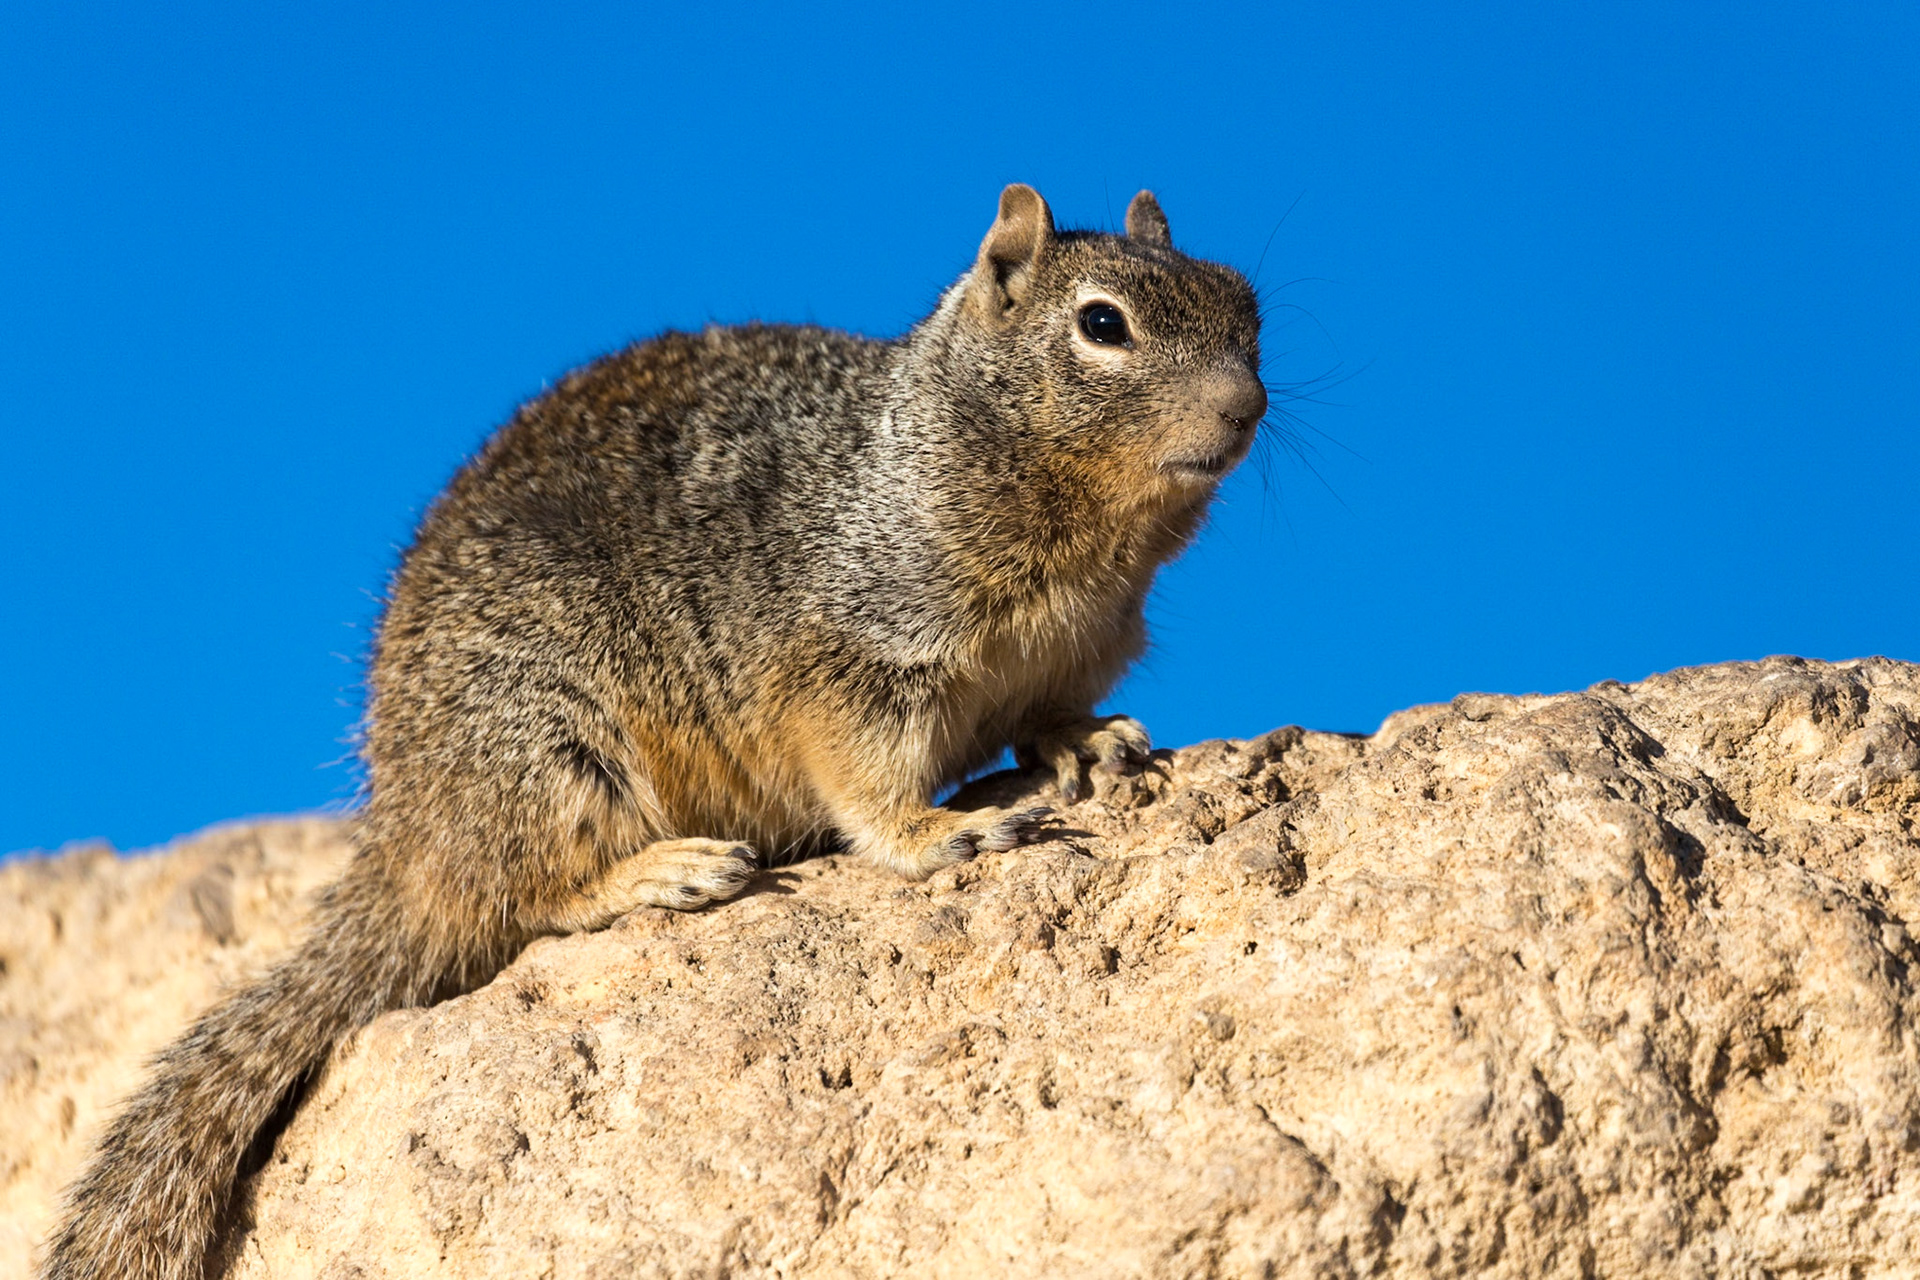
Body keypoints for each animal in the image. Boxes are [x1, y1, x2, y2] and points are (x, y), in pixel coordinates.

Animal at [41, 184, 1267, 1280]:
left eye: (1249, 307)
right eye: (1102, 324)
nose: (1249, 406)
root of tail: (402, 835)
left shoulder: (1077, 648)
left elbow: (1051, 714)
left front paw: (1090, 743)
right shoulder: (852, 659)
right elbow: (867, 785)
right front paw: (940, 835)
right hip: (550, 744)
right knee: (520, 898)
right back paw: (666, 873)